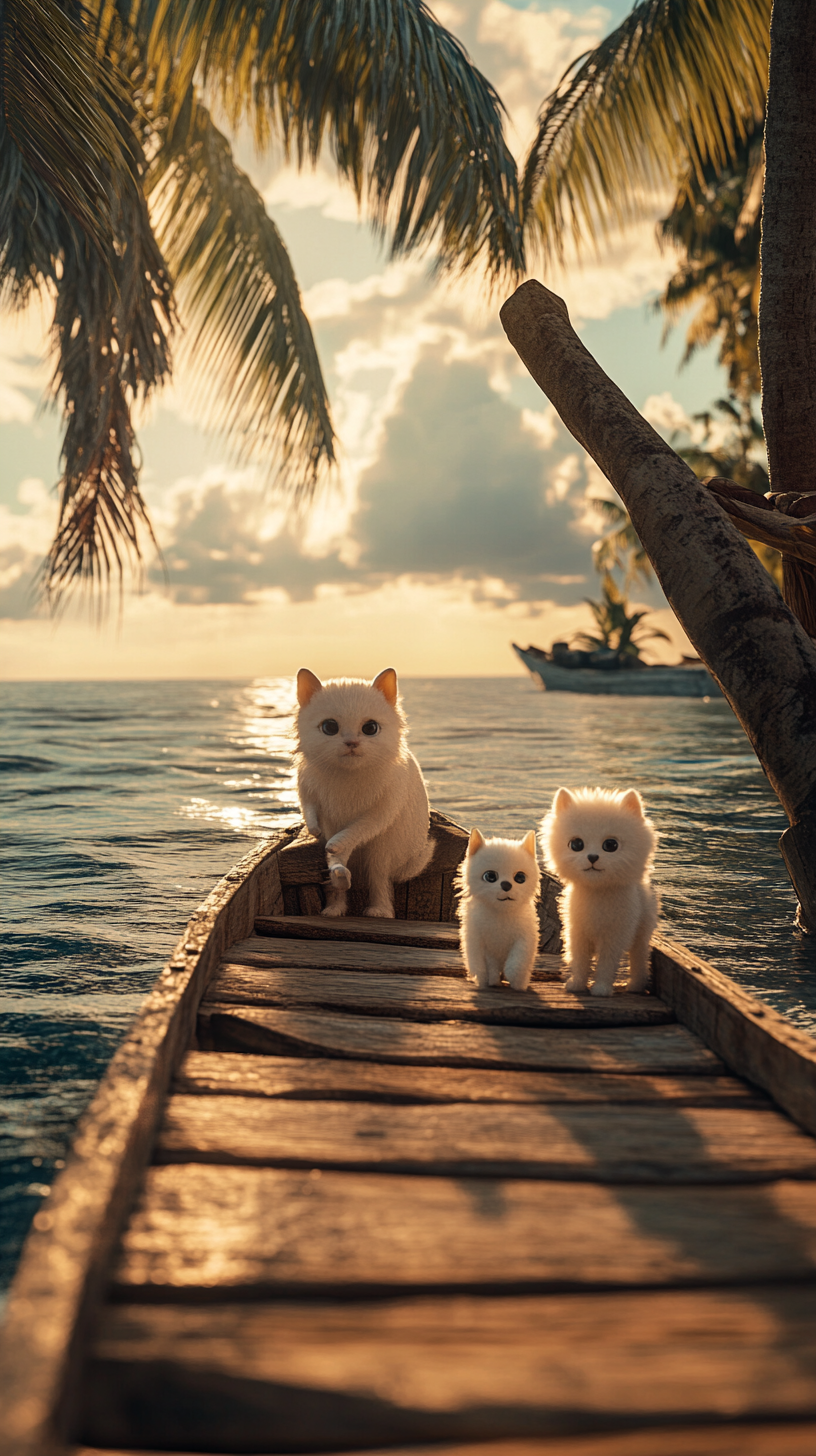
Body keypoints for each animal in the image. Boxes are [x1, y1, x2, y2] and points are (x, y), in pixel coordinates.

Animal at [294, 666, 434, 914]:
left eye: (370, 728)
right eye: (329, 727)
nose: (352, 742)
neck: (349, 773)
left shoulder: (380, 812)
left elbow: (354, 831)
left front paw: (334, 843)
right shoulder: (308, 792)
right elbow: (310, 812)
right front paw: (314, 831)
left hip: (381, 852)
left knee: (378, 877)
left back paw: (379, 911)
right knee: (337, 867)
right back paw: (336, 898)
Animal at [460, 832, 542, 990]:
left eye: (520, 877)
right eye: (490, 876)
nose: (506, 884)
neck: (501, 914)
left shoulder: (525, 938)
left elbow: (517, 962)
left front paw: (517, 984)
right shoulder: (479, 940)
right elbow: (482, 966)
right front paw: (485, 981)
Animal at [542, 786, 655, 1001]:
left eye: (610, 845)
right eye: (576, 844)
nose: (592, 857)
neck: (596, 891)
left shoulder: (614, 936)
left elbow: (606, 964)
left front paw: (601, 989)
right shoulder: (577, 932)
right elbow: (580, 960)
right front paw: (577, 985)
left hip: (641, 932)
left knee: (639, 958)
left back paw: (635, 986)